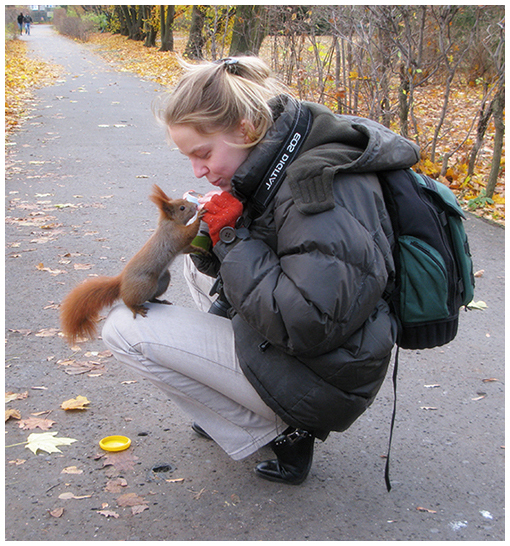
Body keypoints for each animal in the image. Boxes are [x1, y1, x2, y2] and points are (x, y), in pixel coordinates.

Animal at [59, 185, 203, 342]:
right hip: (145, 284)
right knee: (128, 300)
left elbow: (190, 247)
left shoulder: (183, 246)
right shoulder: (174, 234)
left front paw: (203, 251)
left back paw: (159, 301)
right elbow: (189, 233)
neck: (171, 222)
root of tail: (121, 281)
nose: (195, 206)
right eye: (182, 207)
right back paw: (135, 308)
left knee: (151, 297)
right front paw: (200, 216)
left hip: (163, 279)